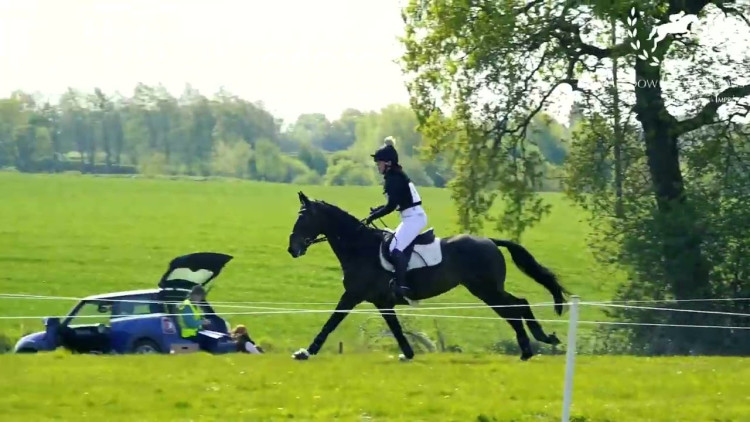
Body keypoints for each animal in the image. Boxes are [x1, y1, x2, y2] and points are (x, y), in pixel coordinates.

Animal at [286, 191, 569, 361]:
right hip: (485, 290)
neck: (359, 246)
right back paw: (529, 348)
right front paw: (408, 354)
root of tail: (489, 241)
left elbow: (331, 322)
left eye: (303, 218)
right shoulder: (381, 301)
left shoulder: (353, 295)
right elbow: (396, 329)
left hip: (486, 289)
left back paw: (537, 342)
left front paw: (306, 352)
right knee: (513, 308)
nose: (292, 249)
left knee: (517, 305)